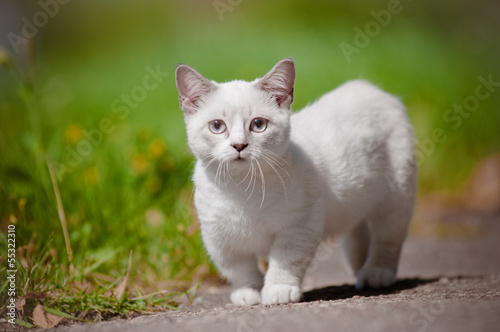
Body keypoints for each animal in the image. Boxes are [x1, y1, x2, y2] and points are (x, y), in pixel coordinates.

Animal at [176, 59, 418, 306]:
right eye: (217, 126)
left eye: (258, 124)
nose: (239, 145)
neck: (242, 189)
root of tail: (366, 87)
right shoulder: (219, 237)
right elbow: (239, 269)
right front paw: (248, 292)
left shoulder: (299, 225)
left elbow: (285, 261)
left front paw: (278, 290)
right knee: (357, 230)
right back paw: (360, 268)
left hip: (396, 197)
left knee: (387, 238)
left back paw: (376, 272)